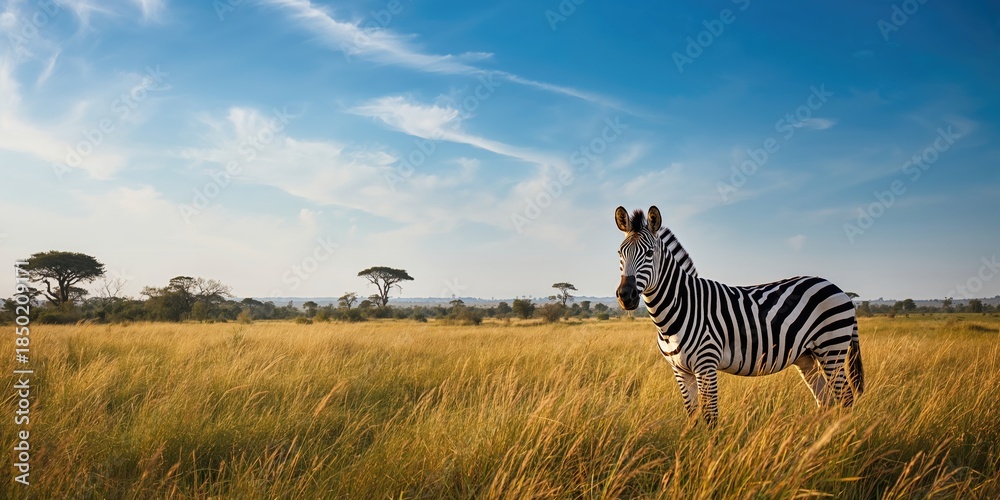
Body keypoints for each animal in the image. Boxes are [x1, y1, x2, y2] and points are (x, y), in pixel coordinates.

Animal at [614, 205, 864, 425]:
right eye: (619, 253)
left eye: (649, 253)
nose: (626, 296)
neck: (676, 312)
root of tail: (840, 291)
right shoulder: (680, 370)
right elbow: (693, 417)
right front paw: (691, 446)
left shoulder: (706, 364)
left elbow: (710, 418)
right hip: (807, 356)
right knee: (826, 400)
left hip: (831, 348)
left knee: (846, 398)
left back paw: (839, 438)